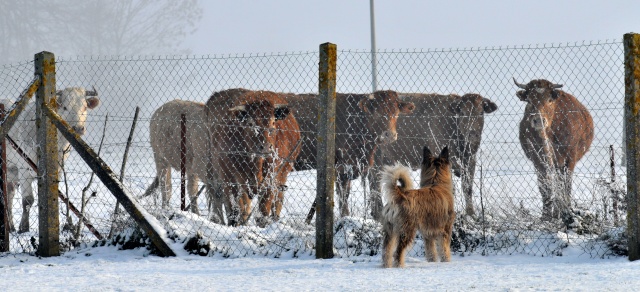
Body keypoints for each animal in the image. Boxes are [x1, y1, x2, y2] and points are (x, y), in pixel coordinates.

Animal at [0, 86, 99, 233]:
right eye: (65, 107)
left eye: (85, 107)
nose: (78, 128)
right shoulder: (24, 168)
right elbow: (28, 200)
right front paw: (24, 227)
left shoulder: (57, 169)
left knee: (9, 194)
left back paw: (11, 226)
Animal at [204, 88, 292, 226]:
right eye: (250, 124)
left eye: (273, 122)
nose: (265, 147)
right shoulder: (230, 177)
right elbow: (235, 209)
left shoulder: (272, 178)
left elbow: (263, 211)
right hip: (212, 169)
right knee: (217, 196)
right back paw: (219, 220)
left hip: (282, 175)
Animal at [284, 90, 416, 217]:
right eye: (377, 113)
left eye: (396, 112)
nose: (390, 135)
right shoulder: (341, 168)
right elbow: (343, 197)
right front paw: (345, 217)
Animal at [370, 92, 500, 218]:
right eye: (462, 113)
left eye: (481, 112)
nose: (472, 134)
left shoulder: (470, 162)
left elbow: (467, 187)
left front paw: (471, 213)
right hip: (376, 158)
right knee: (374, 181)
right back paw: (377, 212)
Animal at [512, 77, 596, 219]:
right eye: (529, 100)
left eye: (549, 100)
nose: (539, 120)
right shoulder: (538, 160)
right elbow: (545, 186)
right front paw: (546, 215)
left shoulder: (569, 158)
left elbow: (566, 185)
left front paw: (565, 210)